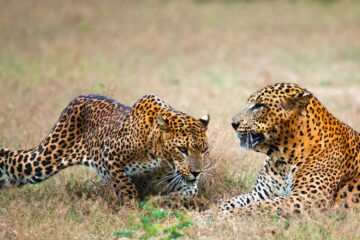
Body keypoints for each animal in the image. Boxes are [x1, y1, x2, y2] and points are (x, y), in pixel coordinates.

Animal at [0, 93, 211, 204]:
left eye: (204, 150)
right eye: (182, 149)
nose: (197, 172)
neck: (160, 155)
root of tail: (78, 98)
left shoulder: (176, 177)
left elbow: (190, 191)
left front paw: (161, 201)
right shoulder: (109, 155)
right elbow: (125, 186)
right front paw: (132, 209)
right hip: (41, 161)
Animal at [218, 82, 358, 218]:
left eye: (259, 106)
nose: (233, 123)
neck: (282, 156)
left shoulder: (306, 199)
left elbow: (260, 206)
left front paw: (226, 215)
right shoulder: (258, 194)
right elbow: (231, 201)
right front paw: (214, 211)